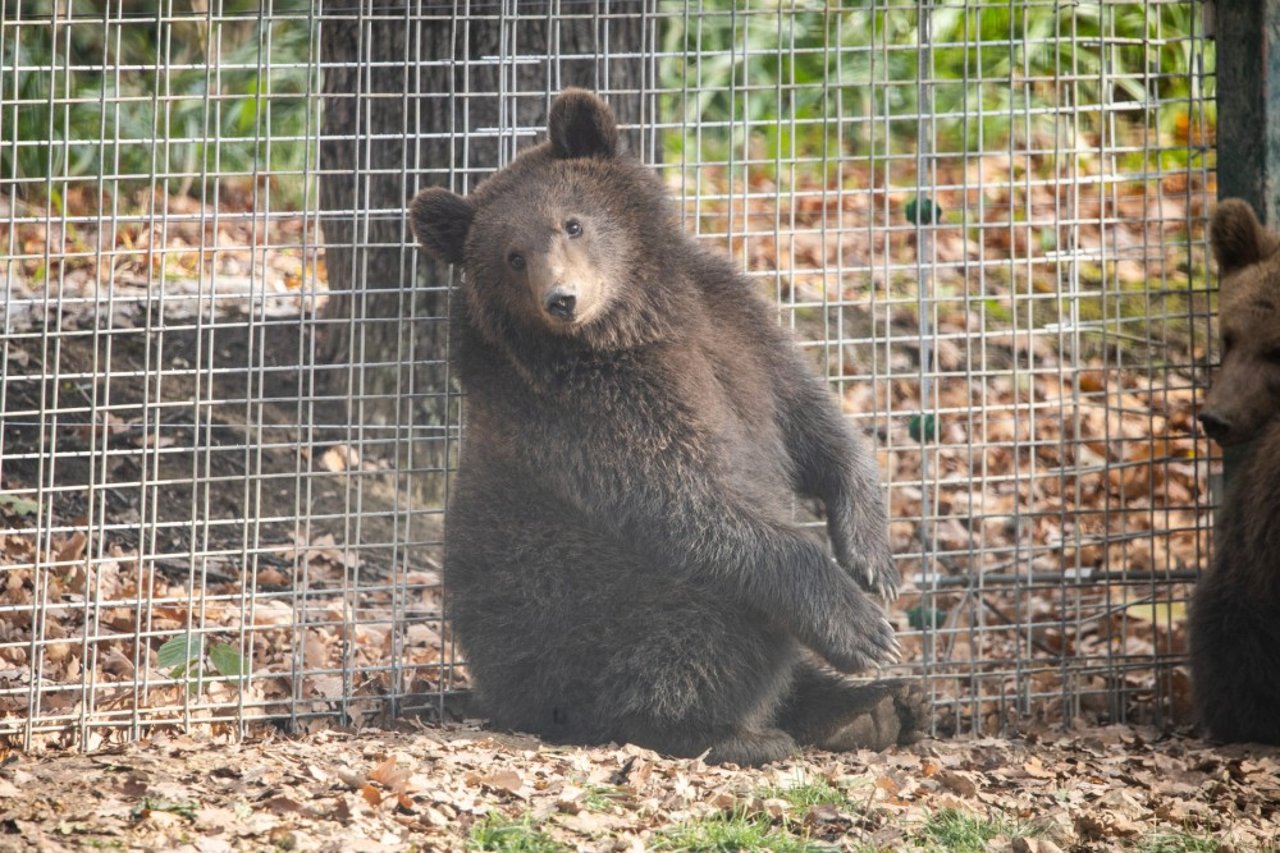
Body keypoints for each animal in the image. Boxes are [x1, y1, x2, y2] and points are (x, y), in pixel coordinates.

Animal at [409, 89, 921, 758]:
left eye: (572, 223)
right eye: (512, 257)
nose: (563, 299)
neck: (633, 322)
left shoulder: (732, 324)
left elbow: (808, 416)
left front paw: (872, 560)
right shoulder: (590, 412)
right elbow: (689, 498)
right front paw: (863, 626)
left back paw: (872, 708)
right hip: (575, 617)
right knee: (696, 626)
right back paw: (727, 733)